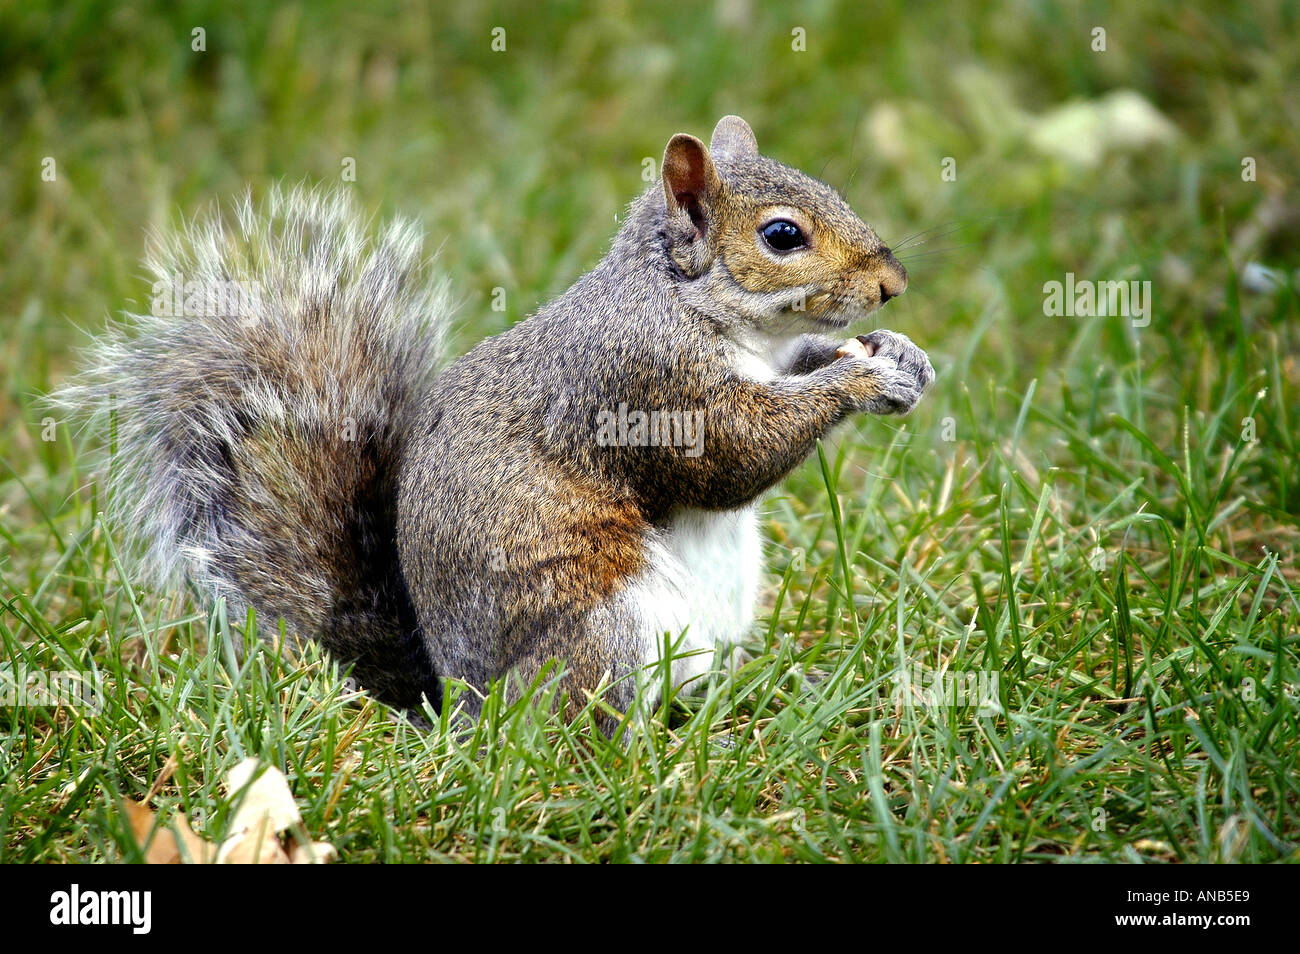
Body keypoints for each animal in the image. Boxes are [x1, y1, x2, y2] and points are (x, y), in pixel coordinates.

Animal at [61, 117, 935, 733]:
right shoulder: (647, 384)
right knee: (581, 728)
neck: (691, 302)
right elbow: (733, 457)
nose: (892, 285)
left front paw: (898, 355)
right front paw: (858, 377)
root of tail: (459, 706)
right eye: (782, 236)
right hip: (604, 629)